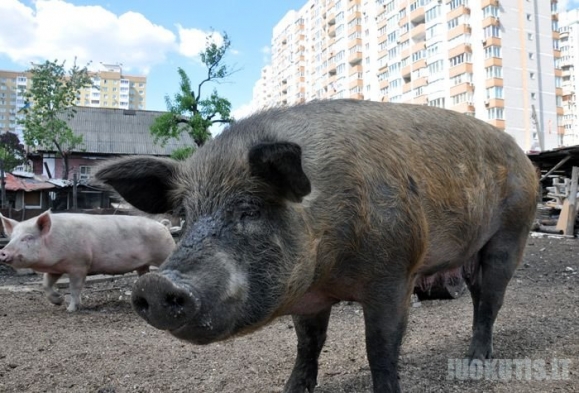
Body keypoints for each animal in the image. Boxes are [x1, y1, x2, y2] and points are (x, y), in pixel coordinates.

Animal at [1, 210, 176, 310]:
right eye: (12, 237)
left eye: (28, 238)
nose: (3, 252)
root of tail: (164, 226)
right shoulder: (56, 268)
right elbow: (46, 284)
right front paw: (58, 301)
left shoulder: (79, 264)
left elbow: (75, 287)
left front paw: (71, 309)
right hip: (143, 265)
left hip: (165, 253)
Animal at [94, 99, 540, 390]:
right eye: (184, 215)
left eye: (250, 210)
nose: (157, 284)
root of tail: (525, 158)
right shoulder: (307, 296)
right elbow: (308, 344)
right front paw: (291, 390)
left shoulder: (394, 274)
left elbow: (380, 347)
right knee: (479, 293)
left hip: (512, 231)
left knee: (492, 297)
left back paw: (474, 363)